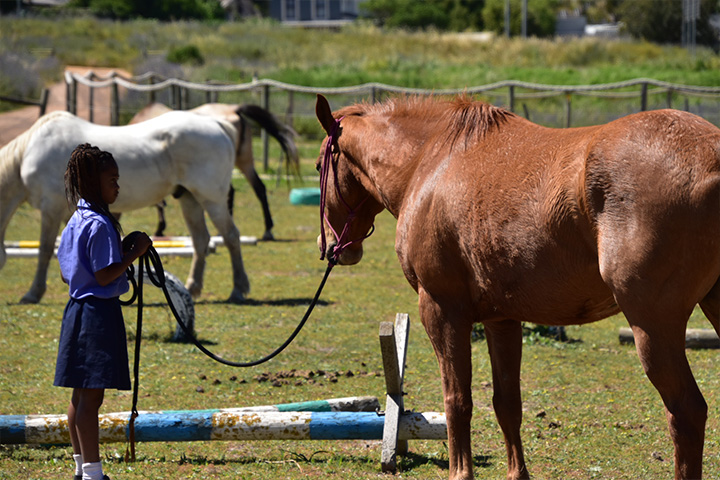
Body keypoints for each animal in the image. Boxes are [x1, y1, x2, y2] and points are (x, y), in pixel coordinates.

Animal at [0, 110, 249, 304]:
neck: (26, 153)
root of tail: (217, 124)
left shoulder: (50, 208)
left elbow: (44, 249)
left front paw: (33, 294)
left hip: (212, 200)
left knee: (231, 236)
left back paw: (238, 290)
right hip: (190, 200)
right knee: (200, 240)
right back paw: (192, 288)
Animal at [129, 102, 299, 240]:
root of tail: (233, 109)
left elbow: (159, 203)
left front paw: (160, 228)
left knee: (231, 192)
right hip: (243, 161)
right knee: (258, 188)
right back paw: (266, 230)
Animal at [314, 93, 720, 480]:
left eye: (320, 167)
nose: (329, 246)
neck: (432, 161)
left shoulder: (441, 311)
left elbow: (457, 400)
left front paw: (461, 472)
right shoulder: (502, 320)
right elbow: (506, 404)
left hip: (652, 327)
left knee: (686, 412)